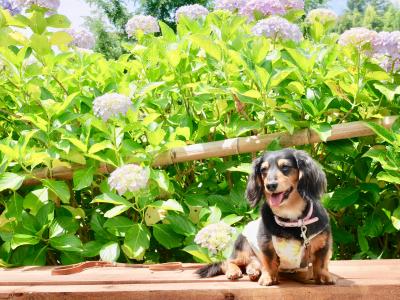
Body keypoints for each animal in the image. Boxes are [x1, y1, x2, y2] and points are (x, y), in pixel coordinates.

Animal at [195, 149, 336, 284]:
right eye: (263, 170)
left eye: (285, 167)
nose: (270, 185)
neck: (292, 218)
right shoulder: (266, 245)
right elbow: (269, 263)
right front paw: (268, 278)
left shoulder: (324, 245)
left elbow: (321, 264)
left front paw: (324, 276)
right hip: (243, 248)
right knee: (228, 262)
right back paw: (234, 271)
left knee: (252, 263)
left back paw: (253, 271)